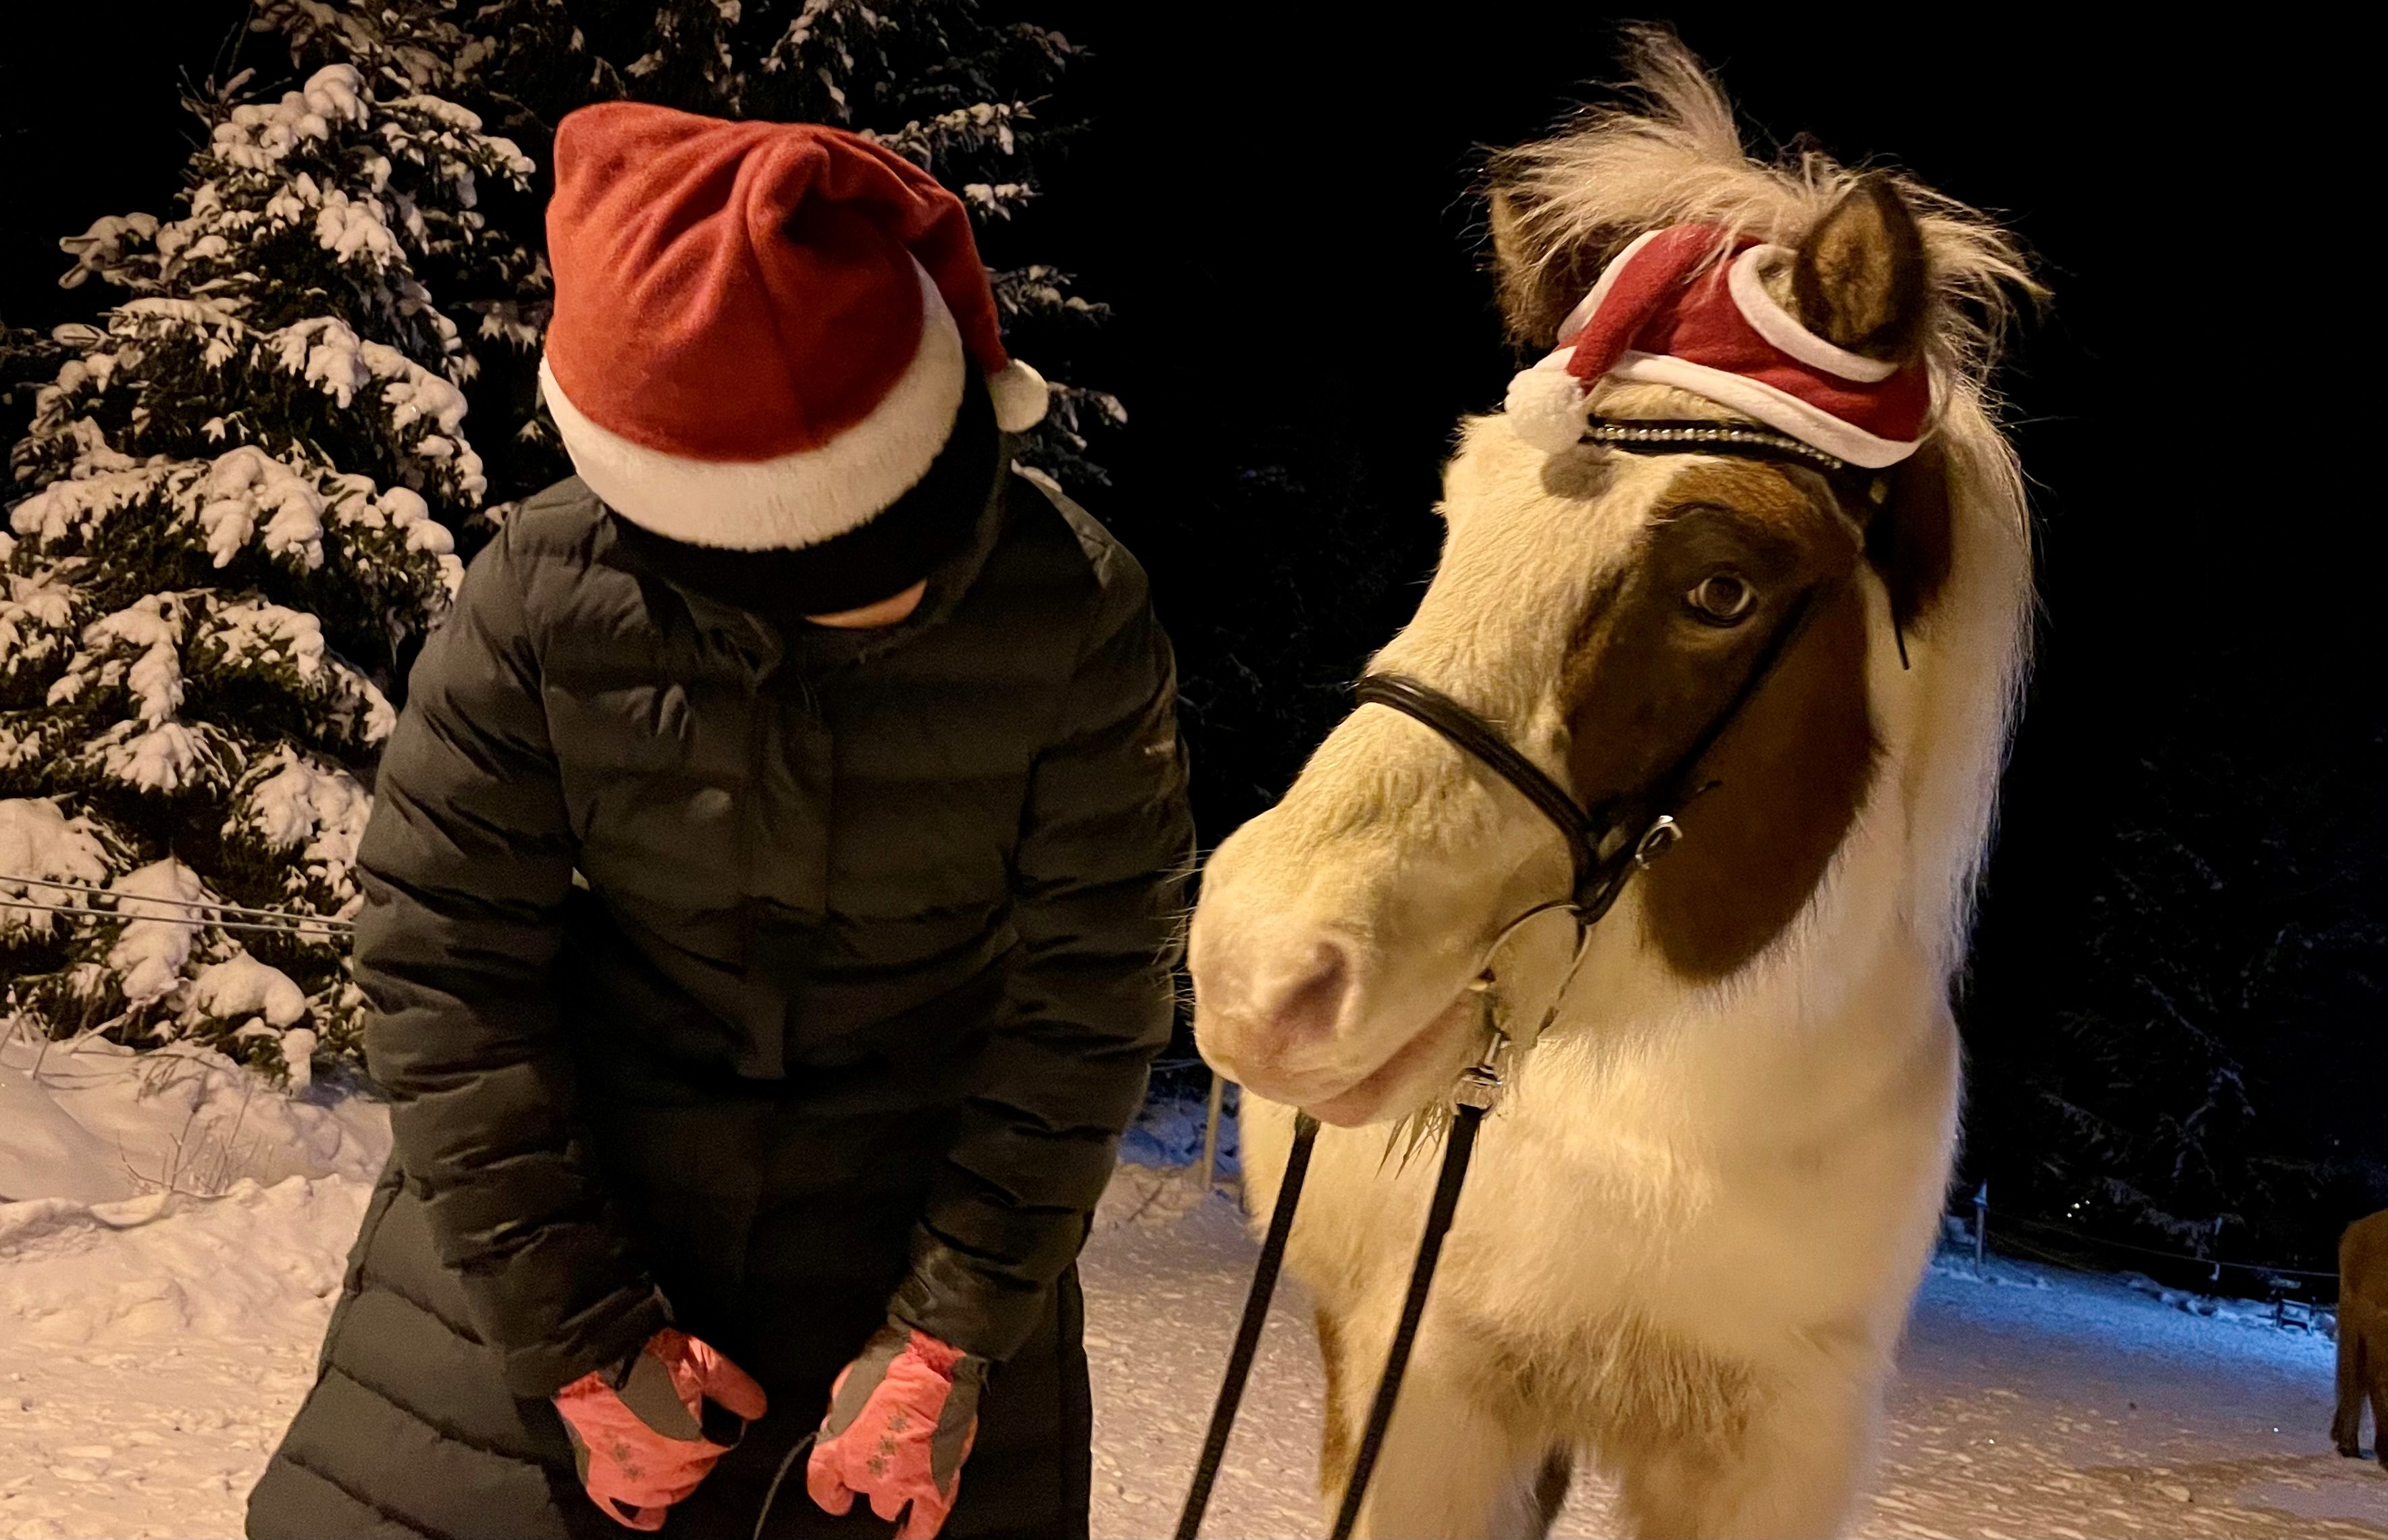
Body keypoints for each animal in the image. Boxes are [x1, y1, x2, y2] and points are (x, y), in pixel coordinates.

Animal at [1187, 34, 2039, 1539]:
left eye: (1721, 588)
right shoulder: (1424, 1399)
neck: (1669, 1123)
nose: (1259, 963)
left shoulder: (1777, 1449)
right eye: (1454, 519)